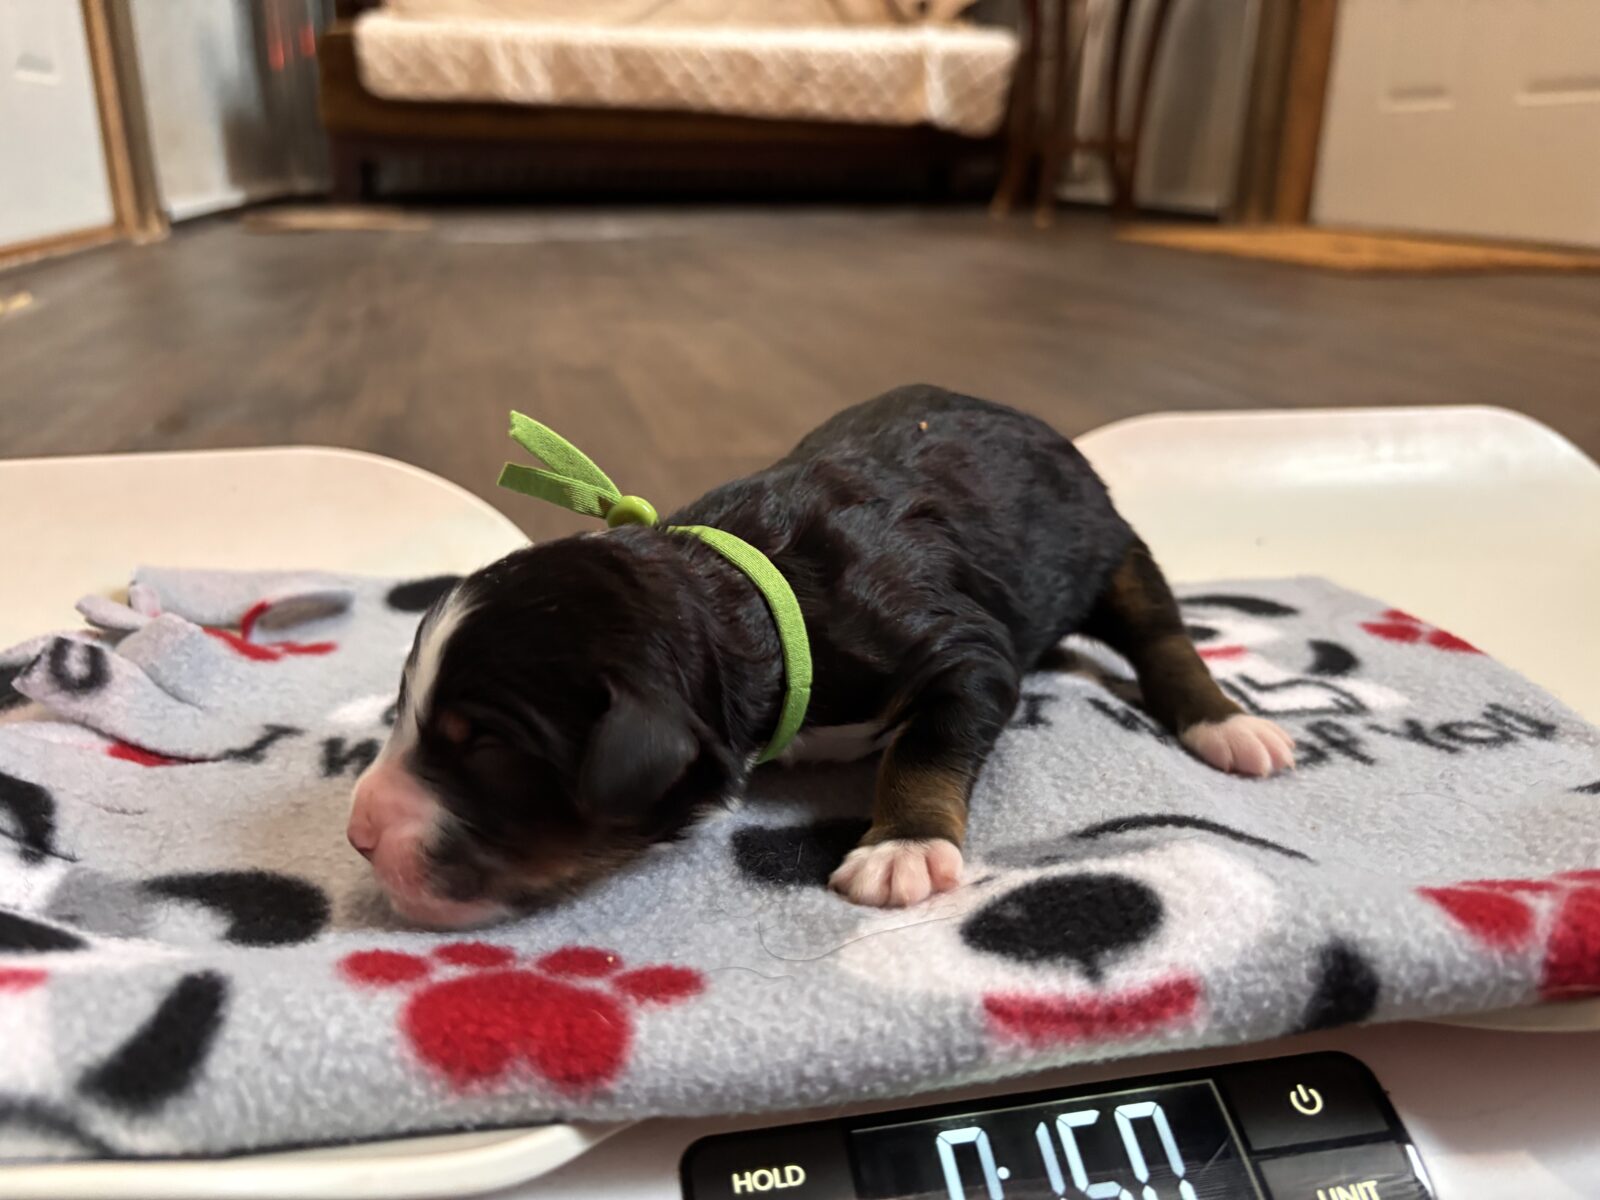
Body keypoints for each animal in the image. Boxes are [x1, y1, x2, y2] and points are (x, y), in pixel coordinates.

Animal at [348, 385, 1294, 927]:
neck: (747, 593)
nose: (358, 836)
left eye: (486, 747)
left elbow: (928, 743)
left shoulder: (961, 649)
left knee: (1165, 634)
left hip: (1111, 546)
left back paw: (1231, 727)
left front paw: (902, 848)